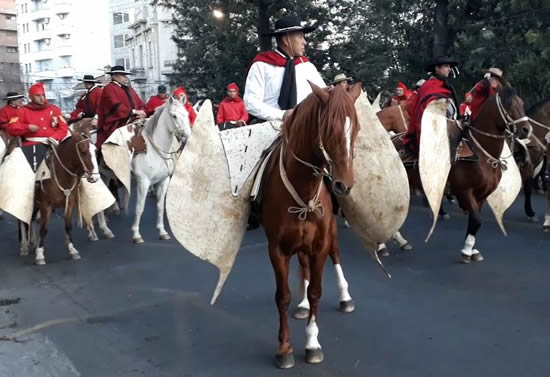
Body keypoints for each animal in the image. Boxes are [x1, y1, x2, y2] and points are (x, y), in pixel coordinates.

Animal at [23, 131, 101, 262]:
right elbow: (44, 229)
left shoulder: (70, 203)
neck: (61, 175)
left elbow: (68, 226)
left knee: (32, 220)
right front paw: (40, 254)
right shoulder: (46, 205)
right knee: (25, 222)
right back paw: (24, 246)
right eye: (83, 151)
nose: (95, 177)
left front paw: (72, 249)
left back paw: (34, 242)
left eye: (95, 150)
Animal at [89, 97, 194, 242]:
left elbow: (160, 206)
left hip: (104, 177)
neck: (154, 151)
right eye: (174, 116)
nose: (187, 135)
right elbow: (140, 207)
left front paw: (162, 231)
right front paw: (136, 234)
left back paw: (105, 229)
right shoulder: (143, 182)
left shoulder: (164, 181)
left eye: (187, 114)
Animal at [262, 83, 364, 368]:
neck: (304, 189)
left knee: (336, 255)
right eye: (328, 128)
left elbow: (317, 291)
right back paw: (303, 305)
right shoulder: (277, 249)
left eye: (357, 127)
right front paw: (284, 349)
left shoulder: (320, 244)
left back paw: (345, 297)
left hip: (329, 235)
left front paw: (312, 343)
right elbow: (283, 296)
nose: (344, 184)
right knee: (303, 267)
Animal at [450, 85, 532, 262]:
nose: (527, 130)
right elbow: (476, 219)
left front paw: (471, 249)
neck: (480, 154)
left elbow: (474, 220)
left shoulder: (482, 193)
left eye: (522, 103)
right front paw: (466, 251)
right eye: (509, 104)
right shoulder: (465, 190)